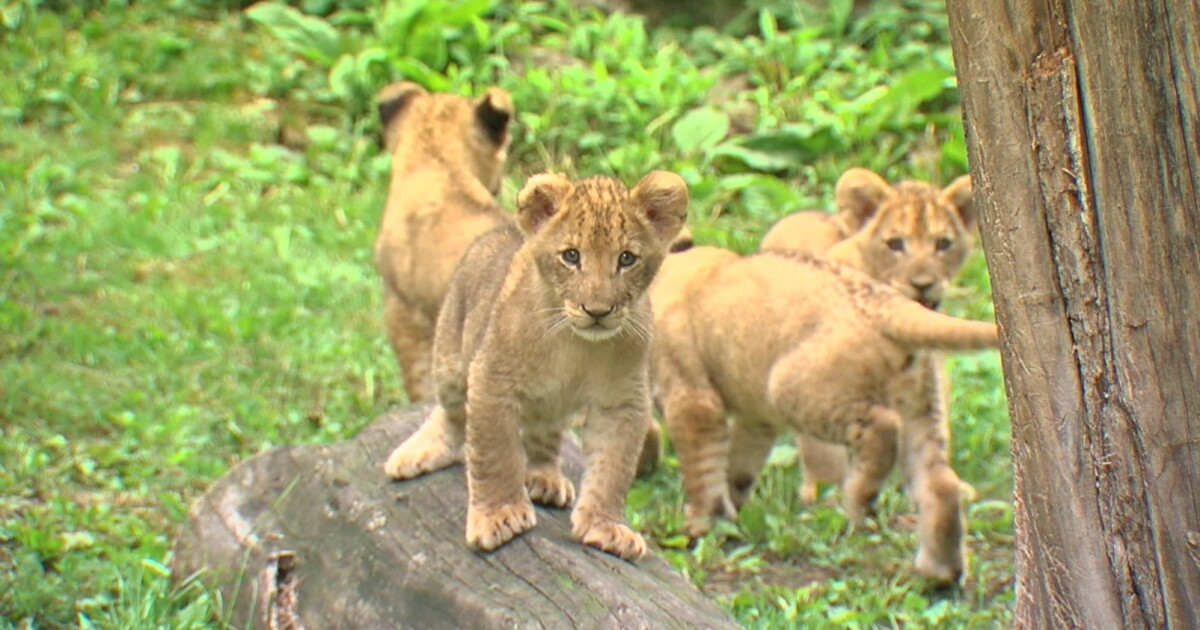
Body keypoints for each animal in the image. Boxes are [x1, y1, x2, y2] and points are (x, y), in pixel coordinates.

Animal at [383, 171, 689, 560]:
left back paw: (544, 478)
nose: (598, 310)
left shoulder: (623, 402)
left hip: (548, 403)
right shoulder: (492, 380)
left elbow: (613, 468)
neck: (576, 345)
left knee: (544, 435)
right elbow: (494, 452)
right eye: (571, 256)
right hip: (451, 355)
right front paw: (499, 516)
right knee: (451, 413)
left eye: (626, 259)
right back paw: (421, 451)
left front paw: (605, 527)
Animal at [650, 246, 996, 582]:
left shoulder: (692, 397)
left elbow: (702, 469)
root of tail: (889, 301)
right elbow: (739, 468)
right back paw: (941, 573)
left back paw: (857, 503)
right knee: (941, 483)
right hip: (920, 407)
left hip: (794, 389)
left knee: (882, 428)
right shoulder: (757, 416)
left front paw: (701, 525)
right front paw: (732, 514)